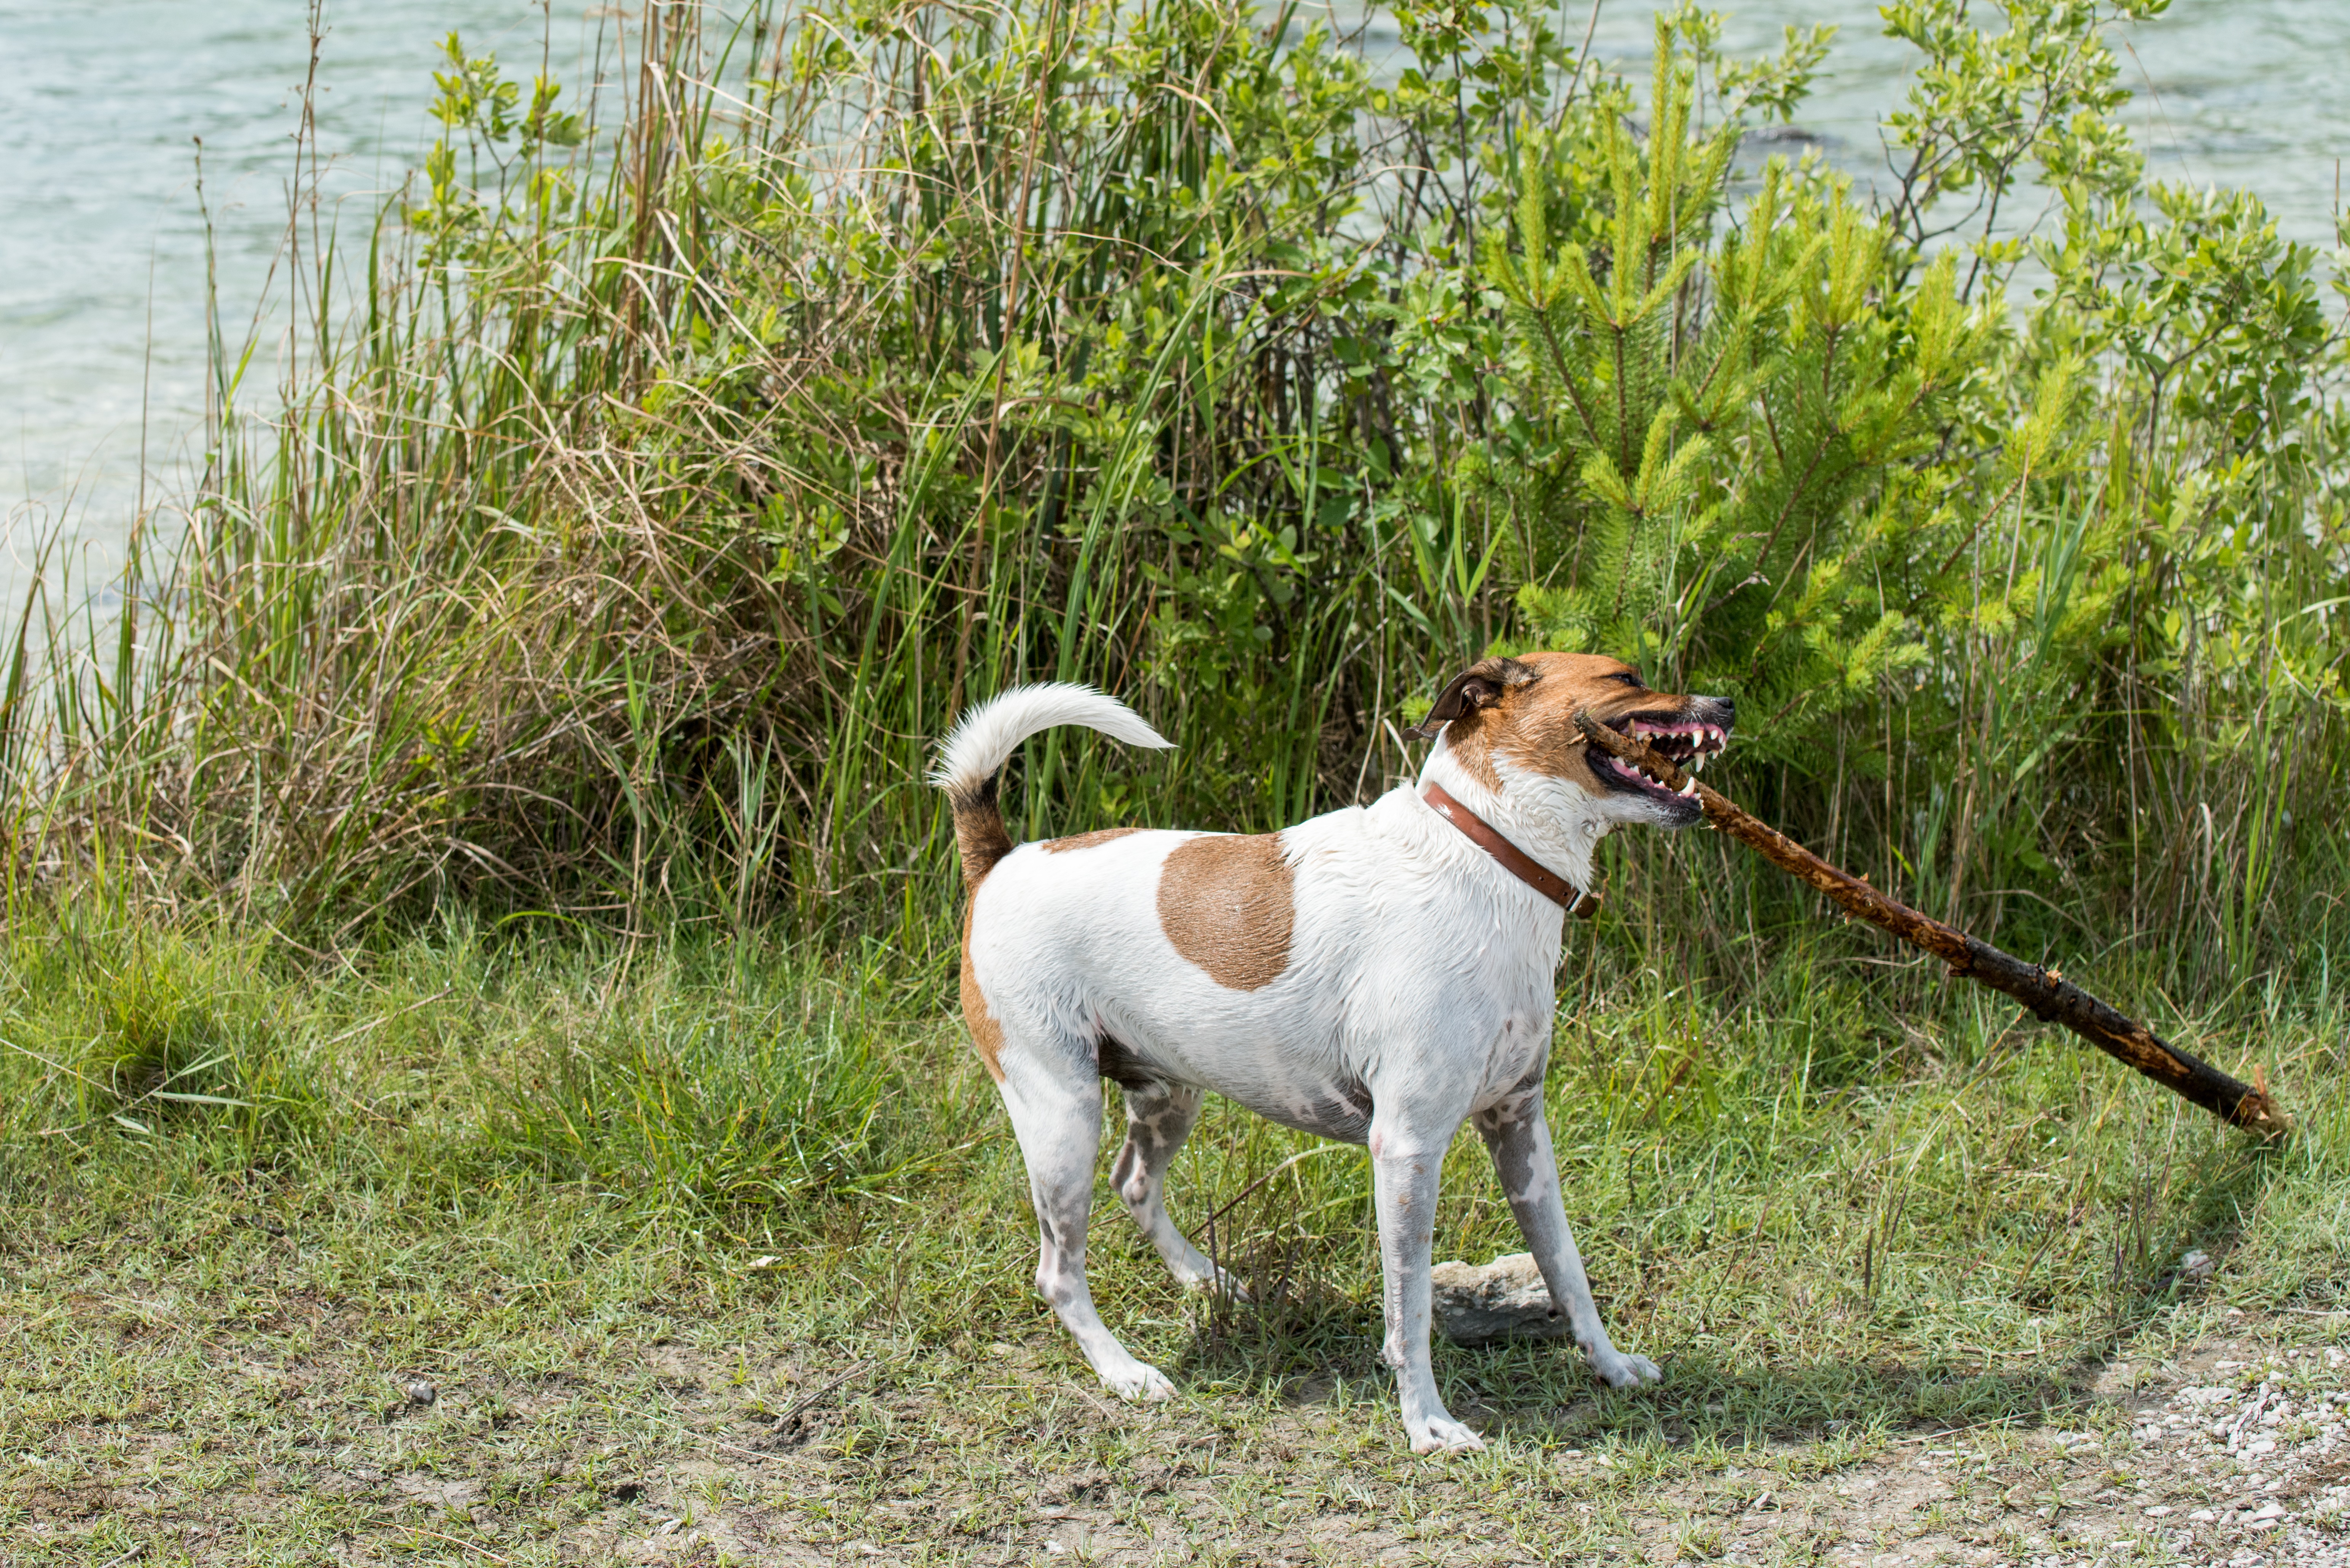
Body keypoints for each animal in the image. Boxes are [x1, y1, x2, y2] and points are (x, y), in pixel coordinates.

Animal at [930, 653, 1729, 1457]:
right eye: (1626, 678)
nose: (1725, 702)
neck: (1485, 852)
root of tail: (999, 862)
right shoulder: (1406, 1150)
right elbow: (1410, 1308)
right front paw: (1426, 1421)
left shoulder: (1520, 1130)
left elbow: (1568, 1271)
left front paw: (1611, 1364)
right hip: (1062, 1120)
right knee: (1059, 1273)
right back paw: (1125, 1371)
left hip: (1166, 1097)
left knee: (1134, 1183)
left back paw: (1206, 1279)